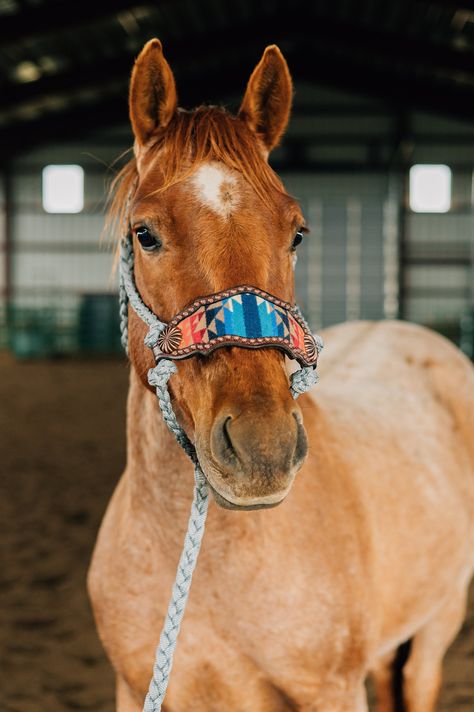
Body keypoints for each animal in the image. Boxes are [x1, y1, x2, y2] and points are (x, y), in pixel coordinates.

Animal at [88, 40, 474, 712]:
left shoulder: (333, 691)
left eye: (297, 232)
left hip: (440, 617)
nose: (262, 449)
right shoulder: (136, 689)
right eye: (145, 234)